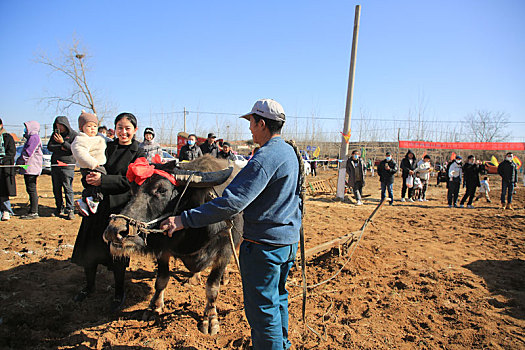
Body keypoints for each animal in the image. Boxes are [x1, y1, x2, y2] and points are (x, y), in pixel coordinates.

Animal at [103, 156, 243, 334]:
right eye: (133, 190)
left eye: (162, 190)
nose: (114, 230)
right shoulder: (163, 250)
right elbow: (161, 280)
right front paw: (154, 308)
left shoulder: (224, 250)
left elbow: (212, 287)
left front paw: (210, 318)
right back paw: (194, 277)